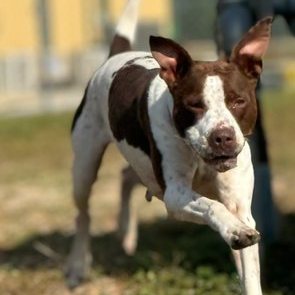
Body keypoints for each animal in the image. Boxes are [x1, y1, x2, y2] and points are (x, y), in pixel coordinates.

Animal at [65, 1, 272, 294]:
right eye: (194, 104)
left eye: (238, 101)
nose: (222, 137)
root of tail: (117, 55)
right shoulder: (175, 194)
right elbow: (212, 206)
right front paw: (235, 230)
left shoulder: (240, 206)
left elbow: (250, 273)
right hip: (85, 164)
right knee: (82, 214)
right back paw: (78, 266)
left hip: (144, 167)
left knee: (127, 177)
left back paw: (126, 231)